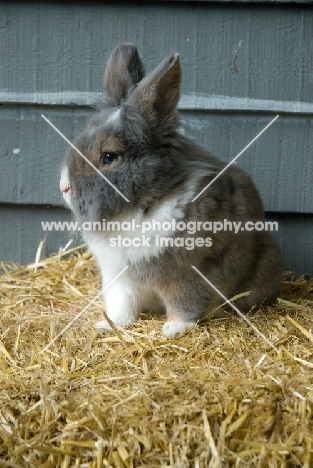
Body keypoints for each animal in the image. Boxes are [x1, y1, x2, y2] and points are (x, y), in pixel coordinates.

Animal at [59, 43, 282, 336]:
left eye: (109, 157)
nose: (64, 187)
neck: (139, 209)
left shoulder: (191, 274)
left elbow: (185, 304)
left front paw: (173, 329)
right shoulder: (118, 279)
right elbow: (122, 307)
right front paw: (109, 325)